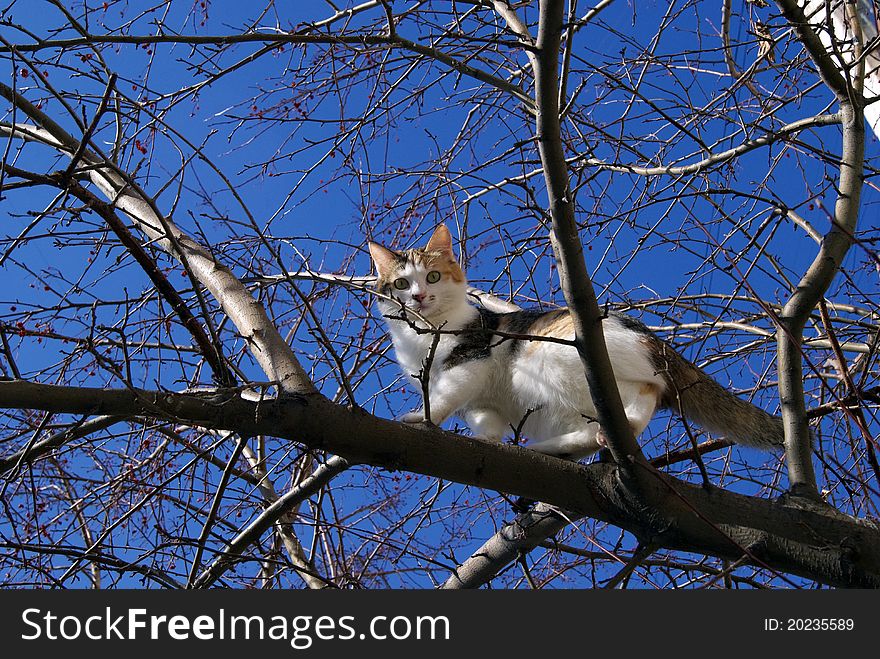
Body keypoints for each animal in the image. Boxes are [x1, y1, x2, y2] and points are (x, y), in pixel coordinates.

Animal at [364, 223, 784, 458]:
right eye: (400, 284)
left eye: (432, 277)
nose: (419, 297)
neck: (423, 335)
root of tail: (654, 340)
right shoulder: (482, 403)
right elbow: (487, 420)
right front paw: (488, 441)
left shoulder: (470, 359)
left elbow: (444, 396)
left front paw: (419, 418)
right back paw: (554, 447)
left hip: (544, 360)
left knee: (642, 400)